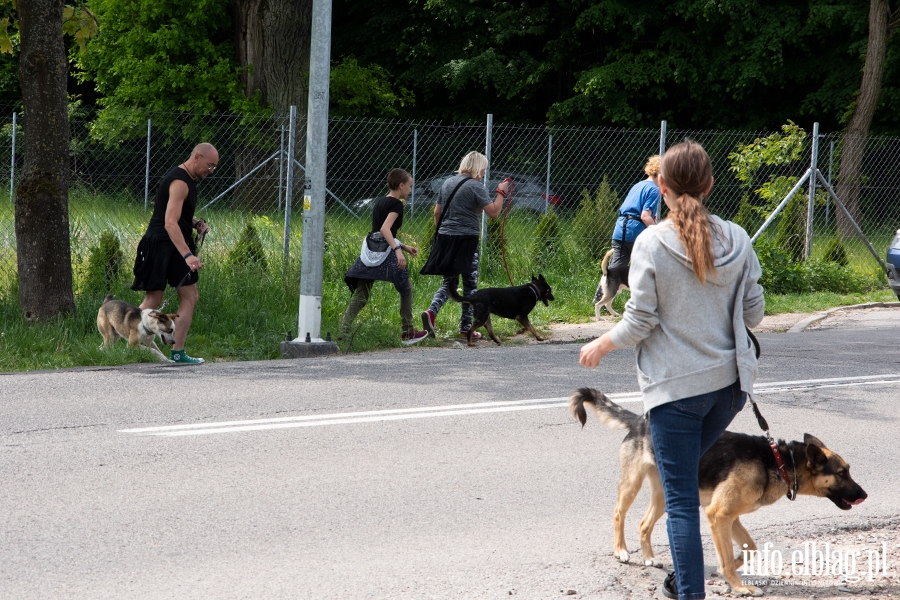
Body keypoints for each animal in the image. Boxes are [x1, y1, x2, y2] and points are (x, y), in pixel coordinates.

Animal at [568, 386, 864, 596]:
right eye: (842, 473)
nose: (865, 495)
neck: (780, 460)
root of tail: (640, 420)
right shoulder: (719, 515)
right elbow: (730, 557)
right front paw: (739, 586)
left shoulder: (731, 518)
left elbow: (750, 548)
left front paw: (734, 565)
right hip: (633, 483)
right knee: (619, 513)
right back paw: (620, 550)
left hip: (666, 496)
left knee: (643, 524)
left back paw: (650, 557)